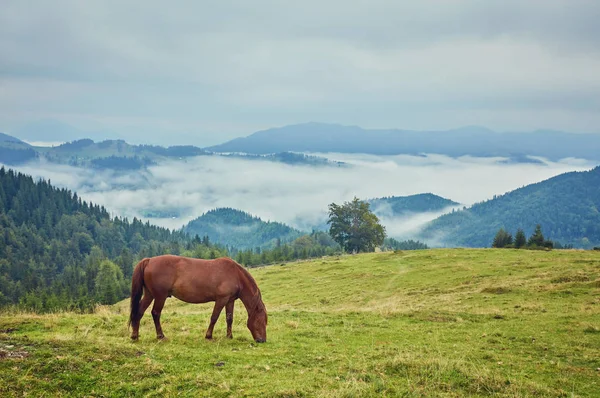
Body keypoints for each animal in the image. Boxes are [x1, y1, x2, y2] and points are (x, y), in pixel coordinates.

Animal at [129, 255, 268, 342]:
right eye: (260, 320)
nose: (262, 340)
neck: (235, 274)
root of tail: (149, 260)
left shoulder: (230, 300)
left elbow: (229, 318)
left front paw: (229, 336)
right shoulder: (221, 299)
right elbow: (214, 317)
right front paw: (209, 336)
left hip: (149, 295)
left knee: (139, 311)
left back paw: (135, 335)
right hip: (160, 296)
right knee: (155, 313)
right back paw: (160, 336)